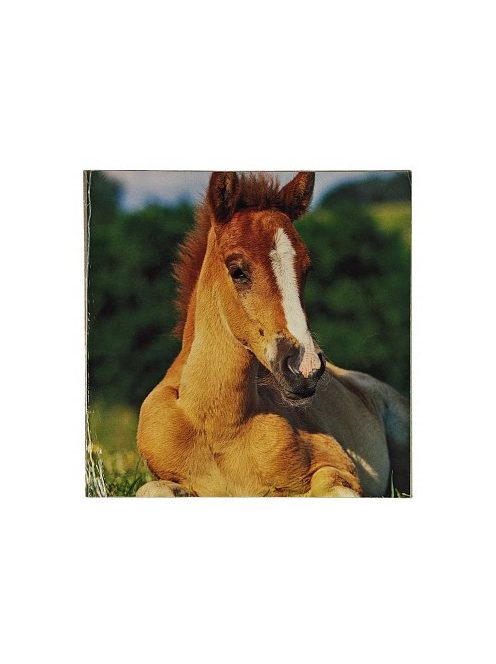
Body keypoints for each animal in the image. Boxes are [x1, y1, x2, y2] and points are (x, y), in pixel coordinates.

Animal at [136, 172, 410, 497]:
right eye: (237, 270)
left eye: (307, 269)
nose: (305, 368)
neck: (217, 425)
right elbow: (152, 489)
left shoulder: (337, 469)